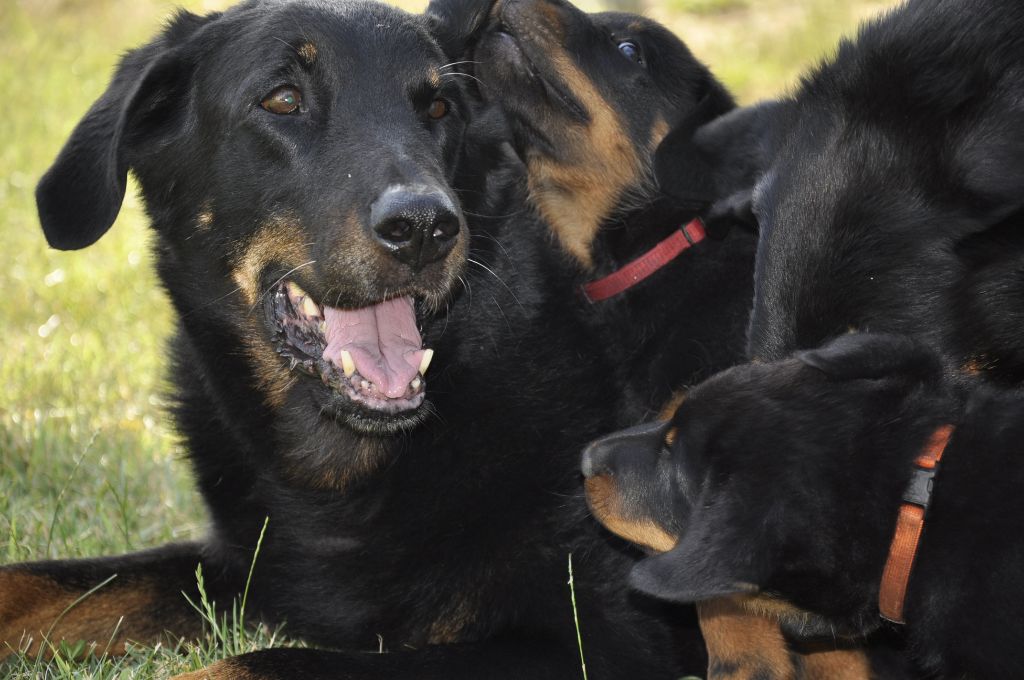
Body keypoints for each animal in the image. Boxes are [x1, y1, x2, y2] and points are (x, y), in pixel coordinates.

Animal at [2, 1, 712, 680]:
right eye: (282, 100)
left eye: (439, 108)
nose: (424, 227)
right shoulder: (249, 565)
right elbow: (34, 581)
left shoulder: (599, 644)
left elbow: (260, 663)